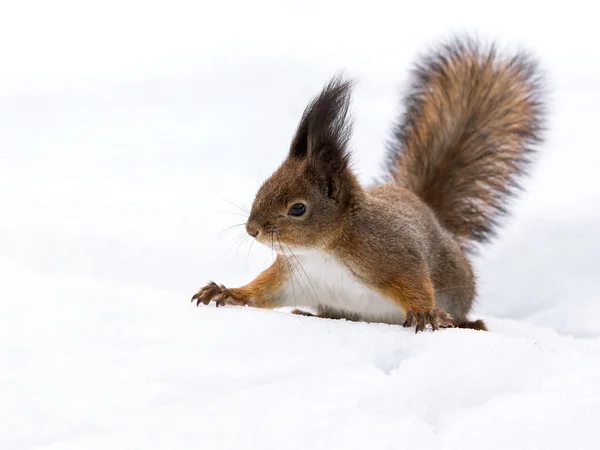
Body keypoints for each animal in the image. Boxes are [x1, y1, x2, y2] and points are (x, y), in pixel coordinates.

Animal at [191, 36, 544, 330]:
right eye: (262, 188)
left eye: (298, 208)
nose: (252, 229)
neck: (324, 250)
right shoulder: (293, 274)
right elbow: (263, 291)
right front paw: (227, 292)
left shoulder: (392, 254)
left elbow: (415, 282)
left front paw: (424, 312)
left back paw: (469, 324)